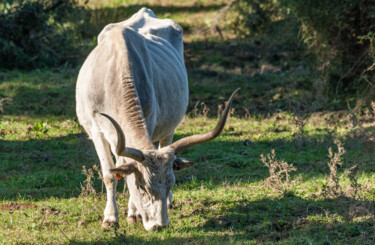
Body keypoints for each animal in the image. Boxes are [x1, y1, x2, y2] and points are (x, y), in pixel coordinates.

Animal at [76, 7, 239, 230]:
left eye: (171, 183)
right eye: (141, 186)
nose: (159, 225)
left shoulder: (149, 122)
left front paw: (134, 213)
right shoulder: (96, 130)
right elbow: (110, 174)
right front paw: (110, 218)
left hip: (169, 128)